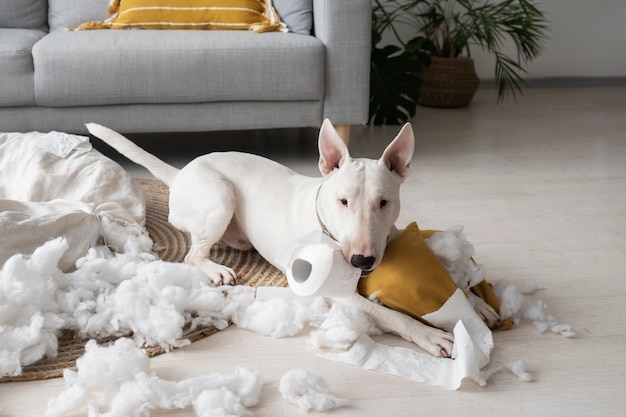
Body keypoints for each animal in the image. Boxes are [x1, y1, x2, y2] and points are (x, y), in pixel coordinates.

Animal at [85, 118, 450, 356]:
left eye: (384, 202)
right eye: (343, 201)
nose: (362, 260)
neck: (327, 228)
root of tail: (182, 173)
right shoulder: (333, 292)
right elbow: (389, 314)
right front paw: (429, 335)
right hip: (220, 195)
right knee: (192, 253)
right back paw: (216, 268)